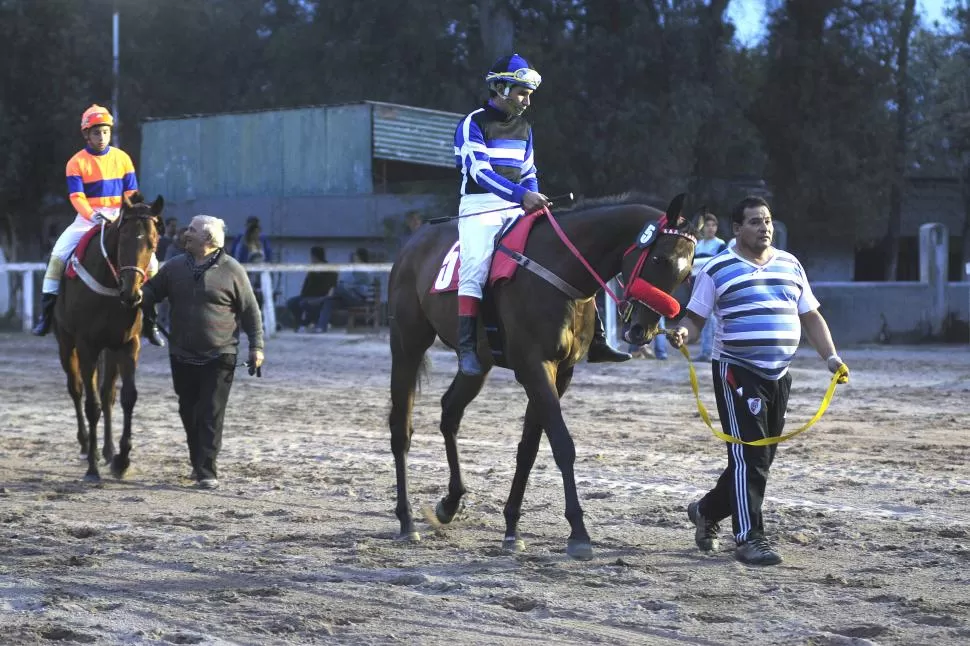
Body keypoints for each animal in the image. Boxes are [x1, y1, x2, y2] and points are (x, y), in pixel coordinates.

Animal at [54, 195, 164, 484]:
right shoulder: (86, 345)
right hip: (66, 344)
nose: (132, 295)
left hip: (110, 350)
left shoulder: (127, 344)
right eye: (122, 239)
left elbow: (127, 397)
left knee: (106, 395)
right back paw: (85, 447)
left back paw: (107, 451)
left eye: (153, 242)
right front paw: (92, 469)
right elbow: (91, 405)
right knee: (77, 390)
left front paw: (122, 460)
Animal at [386, 194, 696, 560]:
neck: (560, 269)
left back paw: (451, 502)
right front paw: (578, 532)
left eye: (687, 272)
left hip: (478, 363)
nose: (641, 330)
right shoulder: (535, 367)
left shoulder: (561, 372)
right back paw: (407, 521)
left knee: (450, 412)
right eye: (660, 258)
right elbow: (562, 444)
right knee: (401, 429)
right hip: (406, 345)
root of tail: (414, 241)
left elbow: (529, 448)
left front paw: (511, 528)